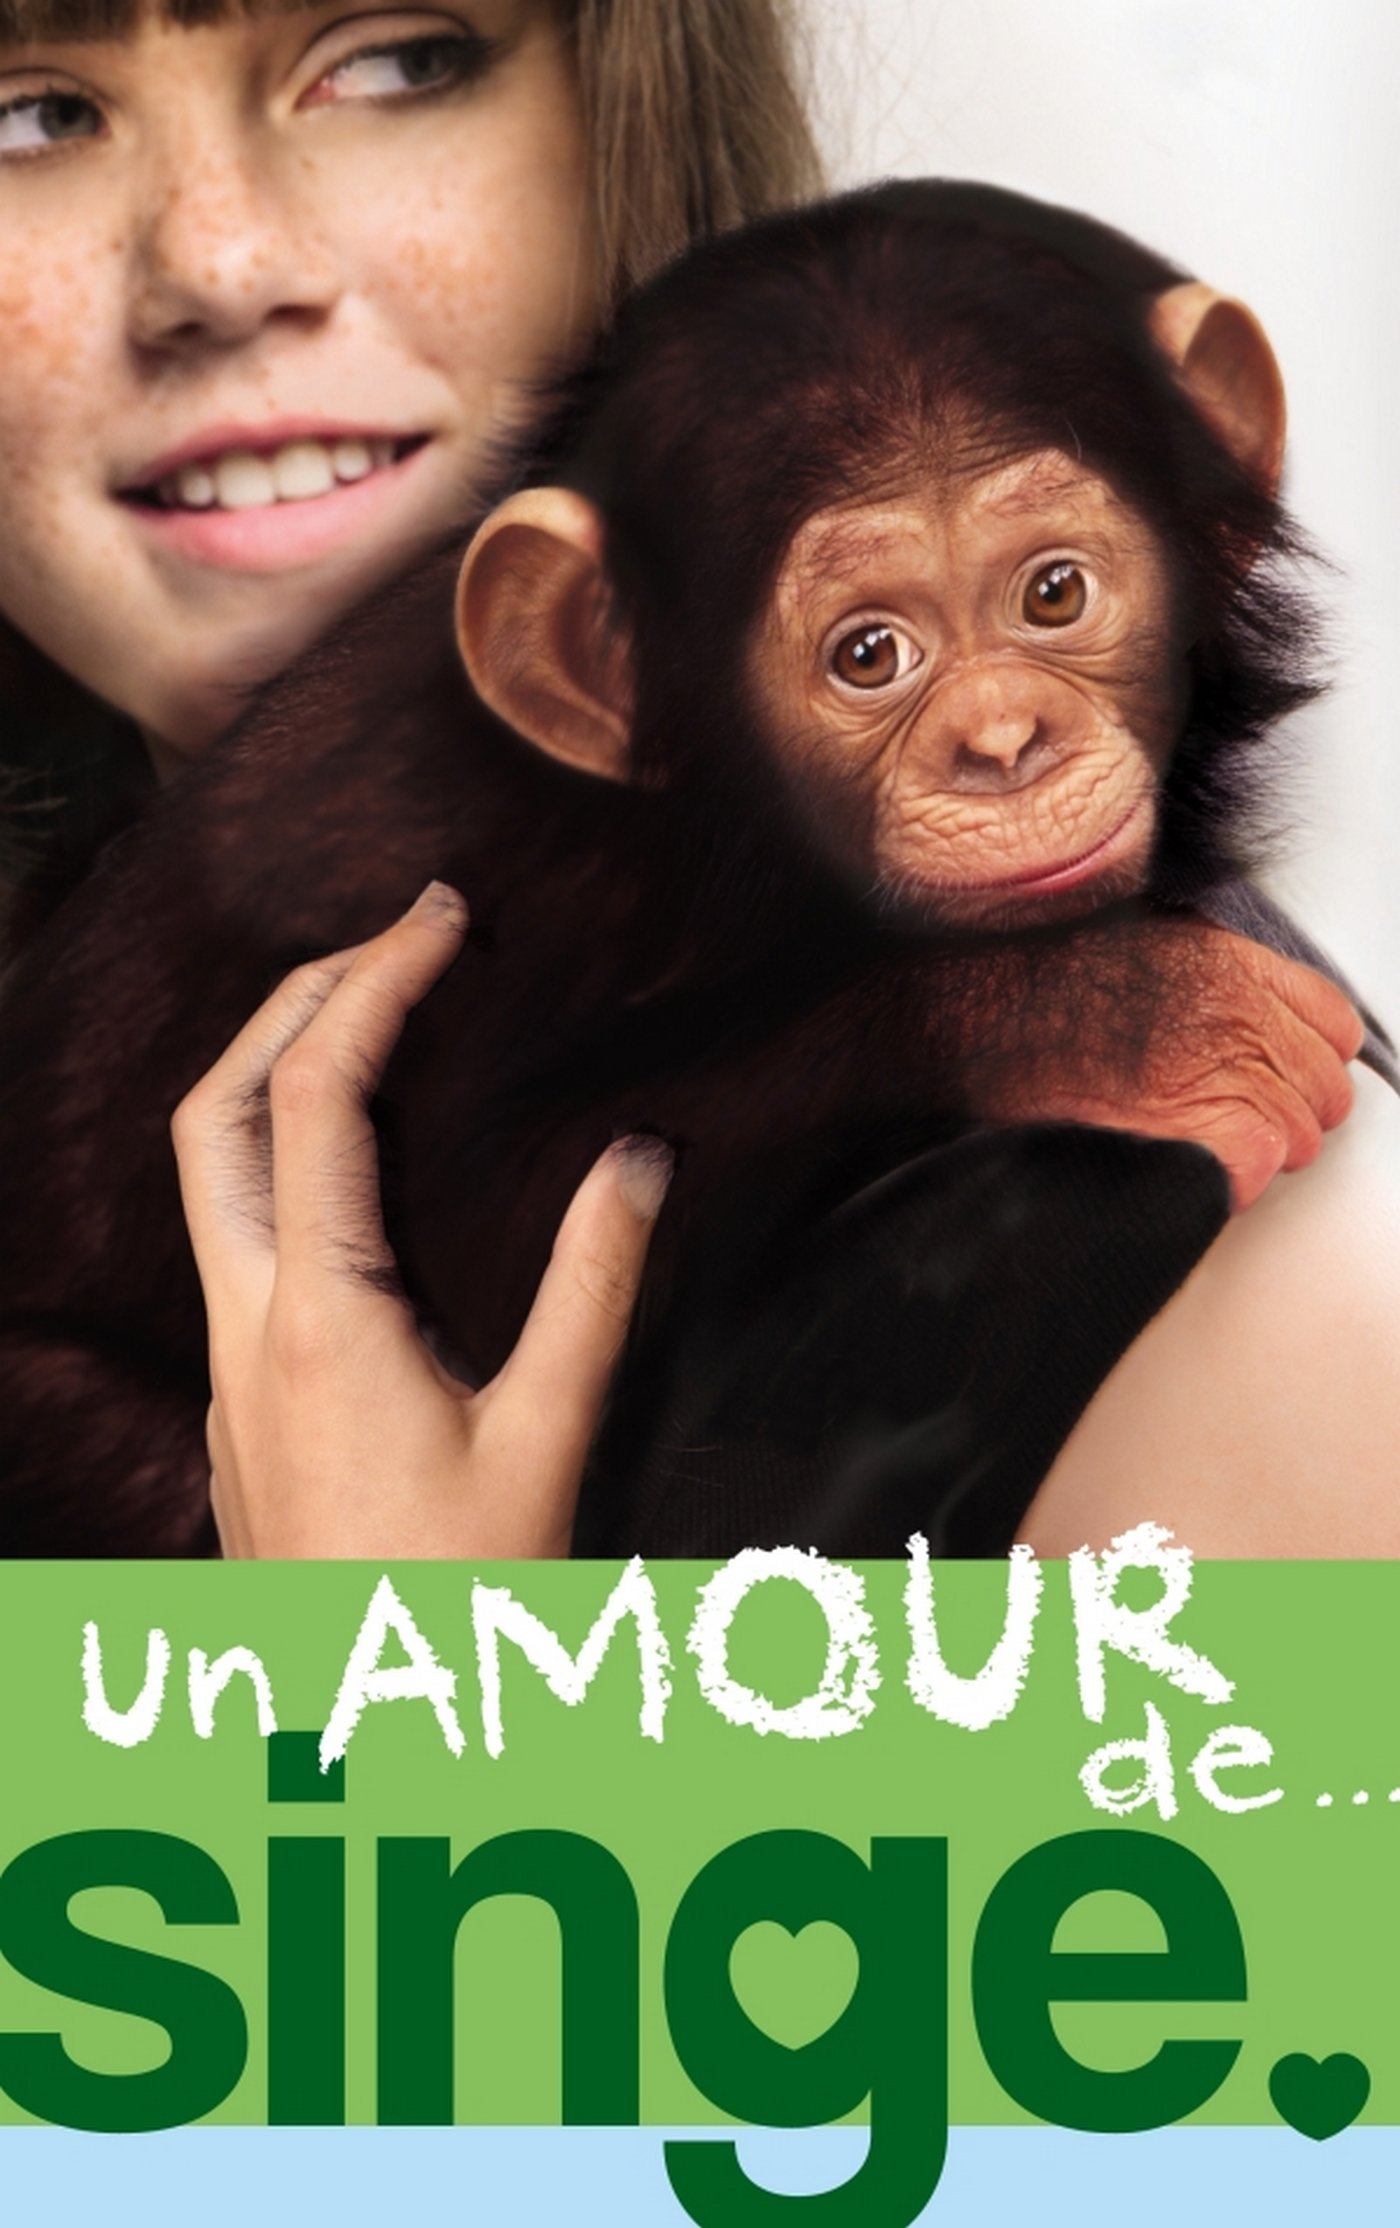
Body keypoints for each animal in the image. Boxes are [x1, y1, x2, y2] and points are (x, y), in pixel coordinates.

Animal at [0, 179, 1378, 1557]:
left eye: (1053, 592)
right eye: (867, 655)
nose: (1000, 741)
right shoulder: (469, 893)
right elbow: (495, 1222)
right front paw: (1139, 1019)